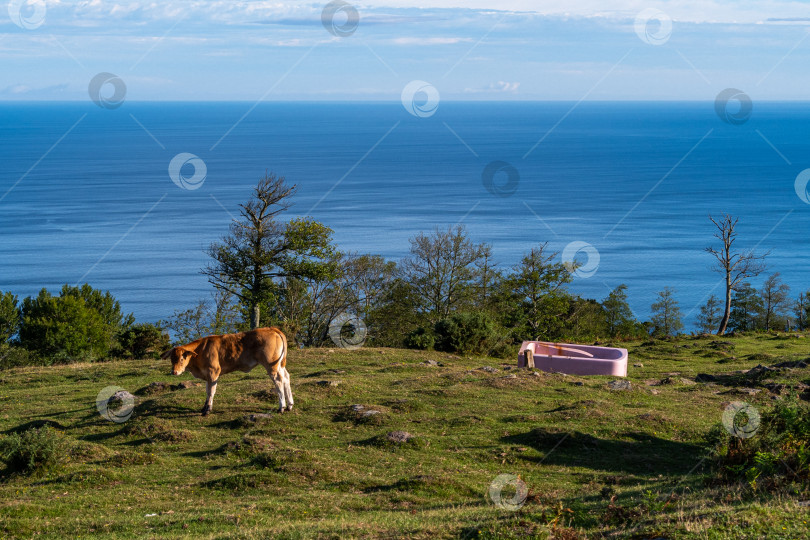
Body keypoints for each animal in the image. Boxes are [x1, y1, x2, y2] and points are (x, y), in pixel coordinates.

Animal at [159, 324, 292, 418]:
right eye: (171, 359)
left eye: (182, 359)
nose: (174, 372)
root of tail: (272, 329)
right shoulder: (207, 375)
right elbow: (207, 390)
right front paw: (204, 408)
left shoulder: (213, 372)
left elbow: (211, 391)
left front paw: (207, 410)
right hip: (280, 365)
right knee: (286, 377)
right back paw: (289, 405)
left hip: (271, 365)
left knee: (278, 381)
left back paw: (281, 407)